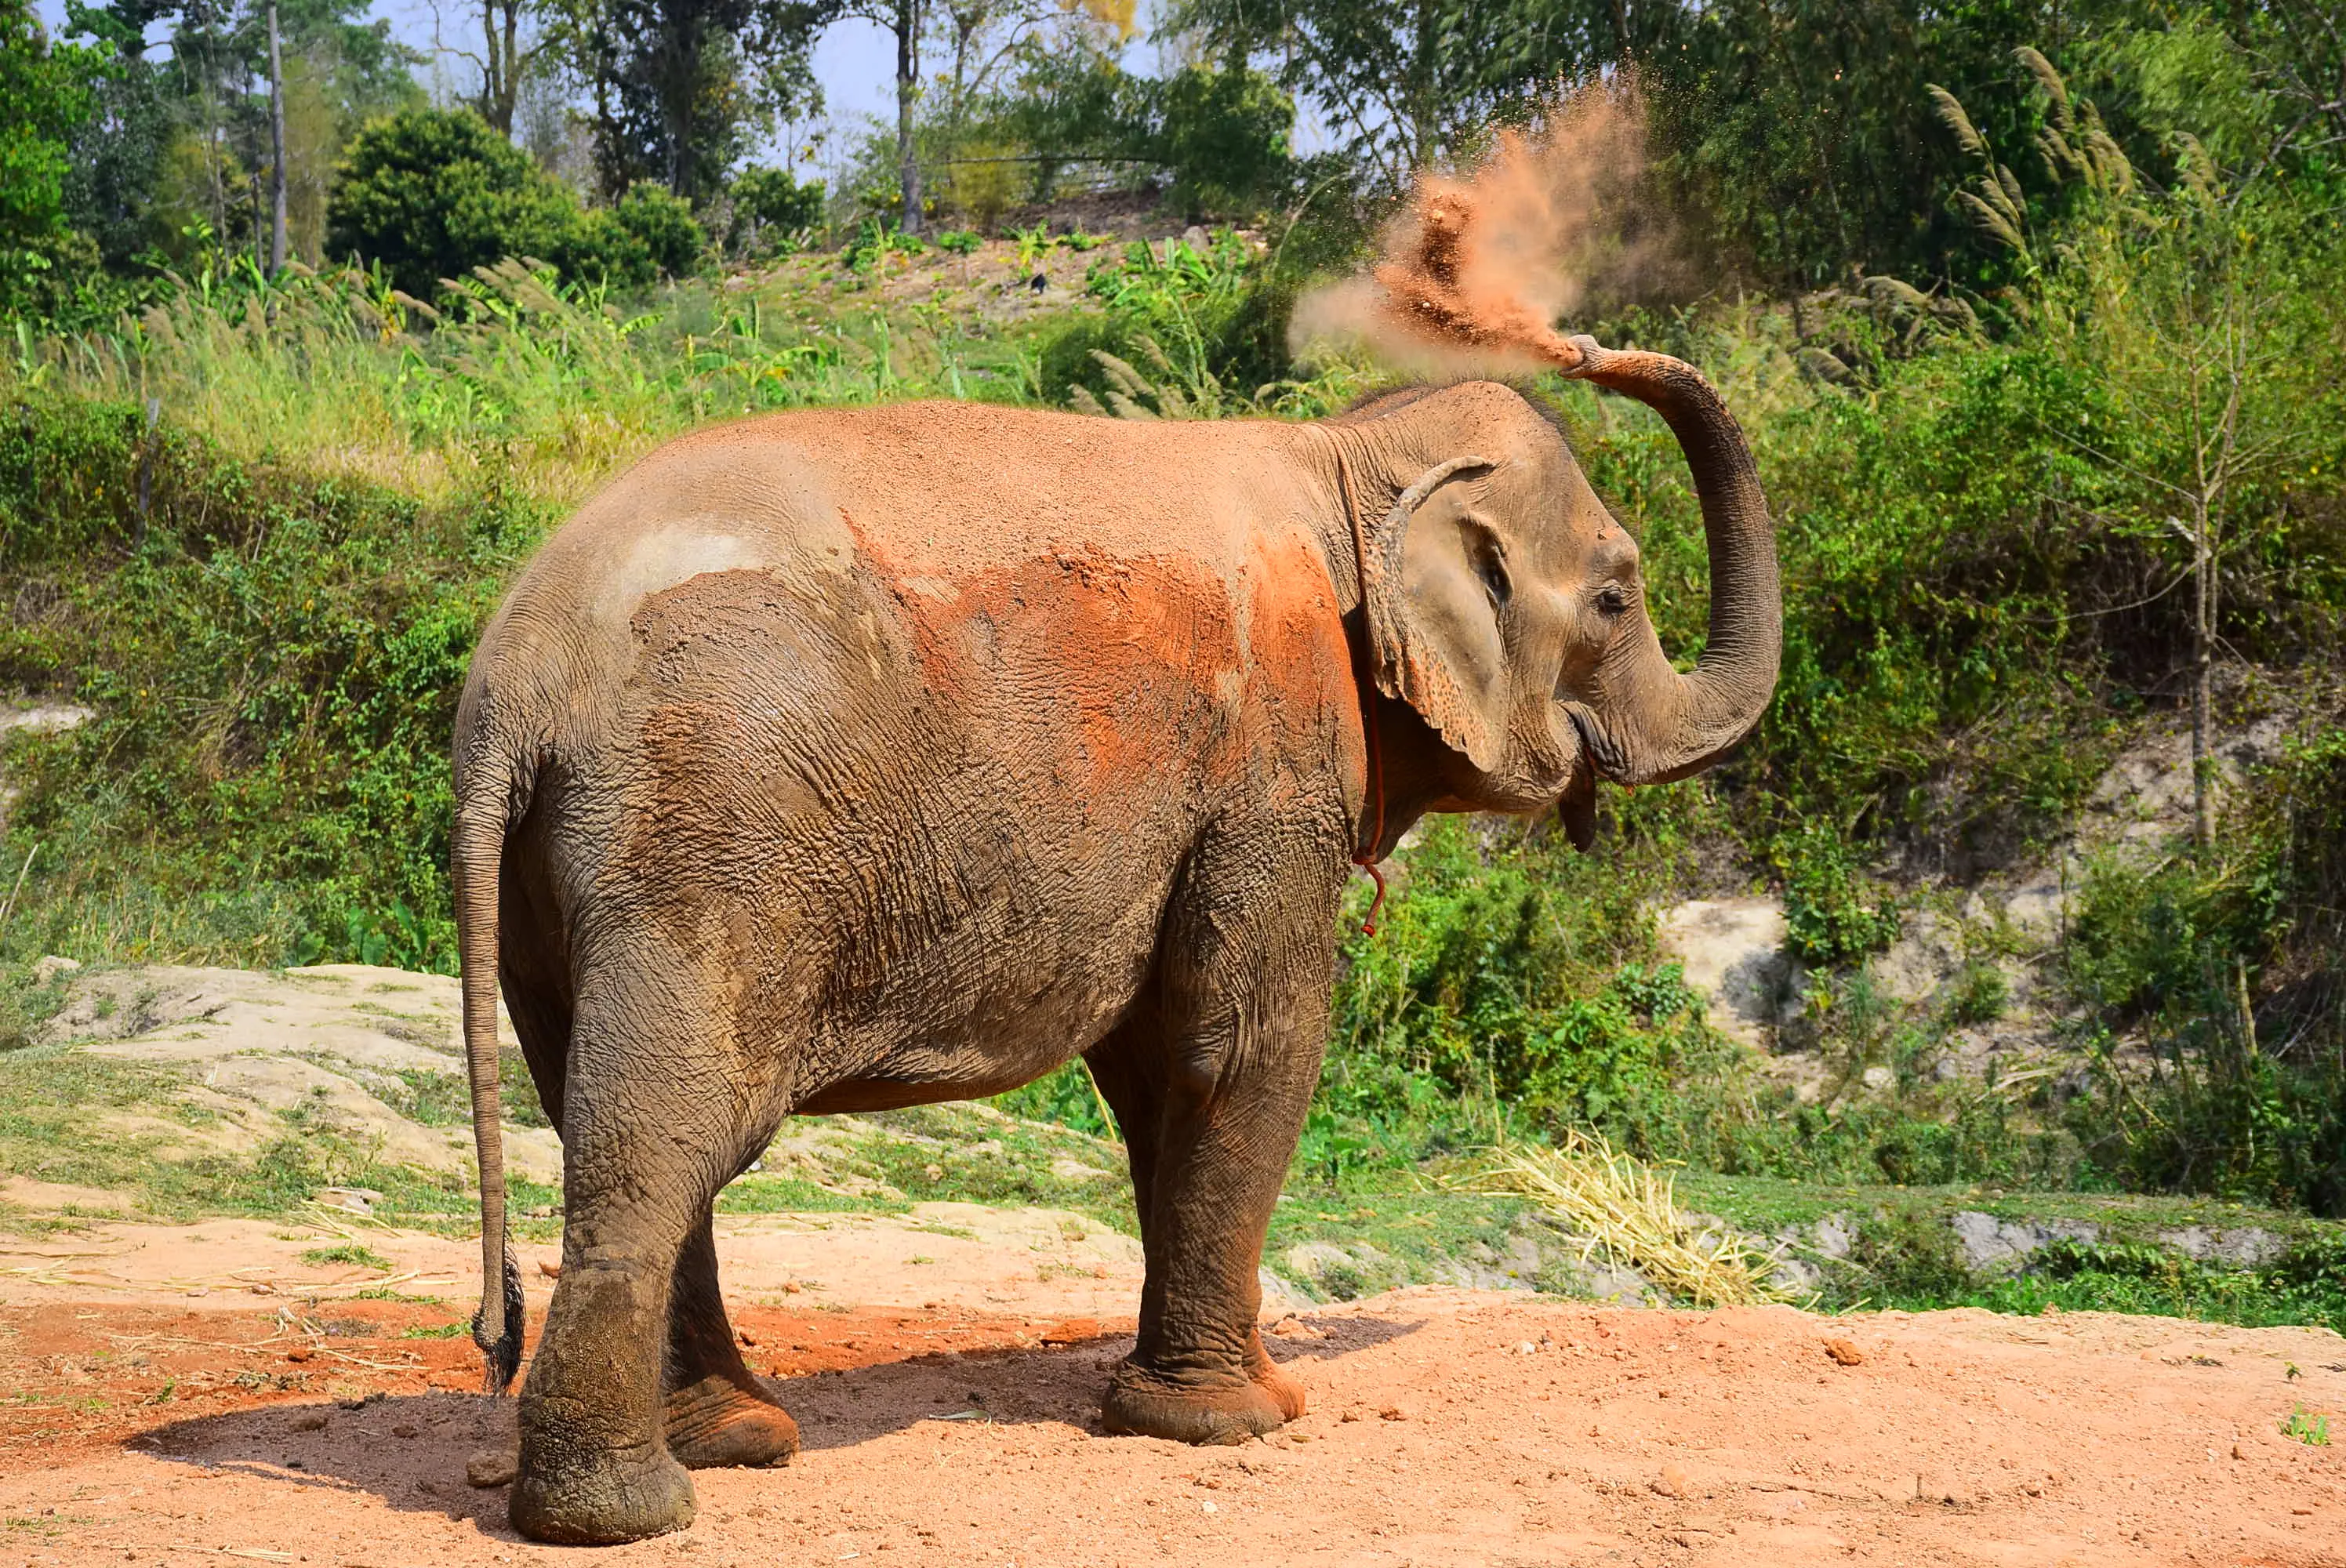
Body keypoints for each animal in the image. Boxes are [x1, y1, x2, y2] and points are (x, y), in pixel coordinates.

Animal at [452, 334, 1778, 1544]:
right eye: (1616, 597)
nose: (1591, 348)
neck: (1350, 454)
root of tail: (518, 680)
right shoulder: (1274, 754)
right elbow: (1244, 1049)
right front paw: (1239, 1422)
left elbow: (1156, 1074)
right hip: (705, 842)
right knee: (667, 1135)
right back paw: (624, 1514)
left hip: (563, 876)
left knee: (601, 1109)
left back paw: (733, 1441)